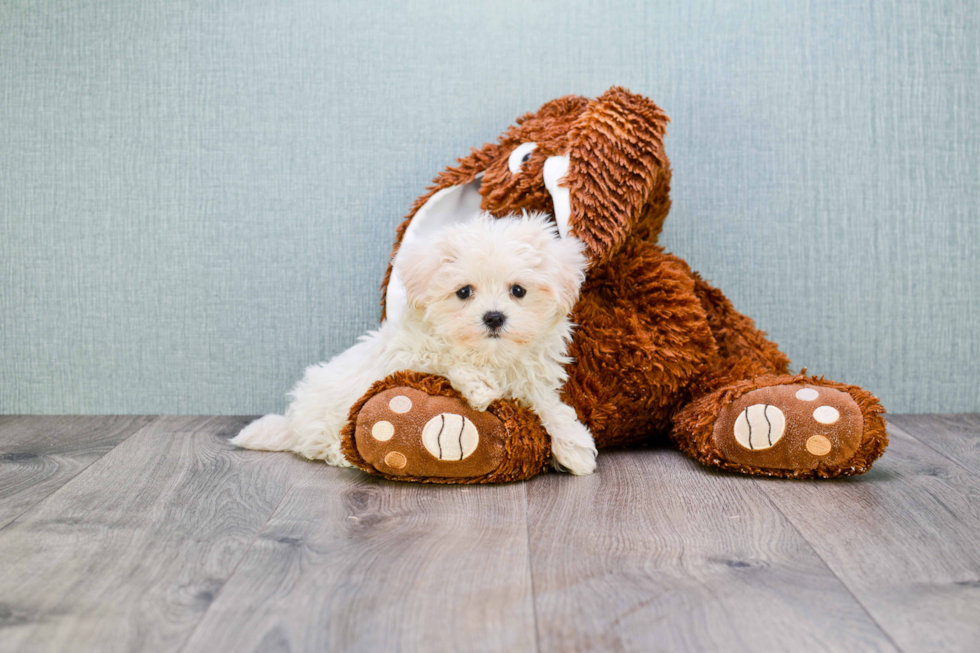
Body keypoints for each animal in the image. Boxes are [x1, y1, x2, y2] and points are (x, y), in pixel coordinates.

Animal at [234, 214, 596, 474]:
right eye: (464, 291)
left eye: (518, 290)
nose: (494, 317)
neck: (489, 357)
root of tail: (293, 421)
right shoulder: (407, 356)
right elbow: (443, 360)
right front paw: (479, 387)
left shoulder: (531, 378)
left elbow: (547, 403)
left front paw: (574, 445)